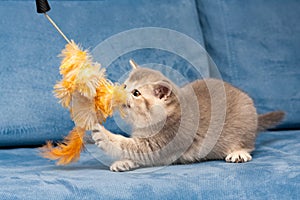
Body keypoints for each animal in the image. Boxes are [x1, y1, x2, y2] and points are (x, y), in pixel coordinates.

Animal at [91, 60, 284, 171]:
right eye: (125, 86)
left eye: (136, 93)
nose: (119, 93)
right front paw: (123, 162)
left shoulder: (164, 143)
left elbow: (132, 147)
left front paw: (105, 136)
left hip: (244, 122)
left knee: (248, 144)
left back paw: (239, 152)